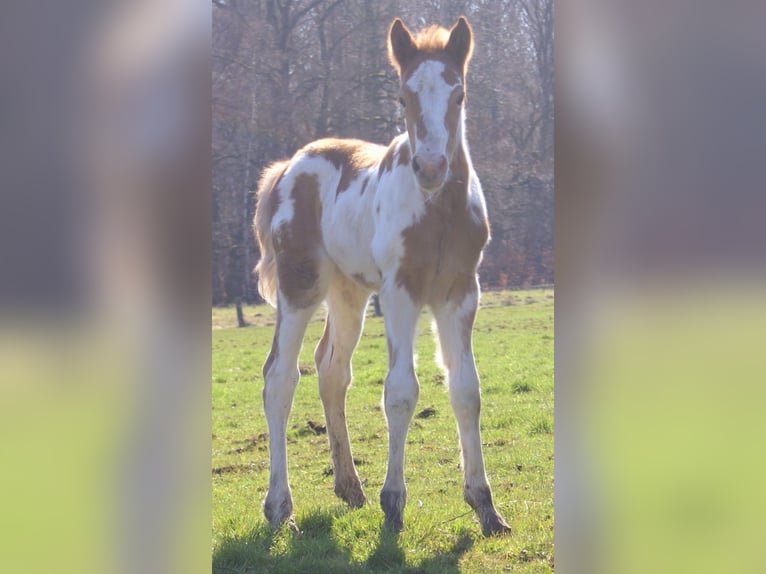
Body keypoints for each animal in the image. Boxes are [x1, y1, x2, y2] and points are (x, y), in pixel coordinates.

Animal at [253, 16, 511, 536]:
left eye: (460, 95)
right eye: (402, 98)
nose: (431, 166)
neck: (438, 213)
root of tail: (288, 166)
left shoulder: (461, 292)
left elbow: (466, 390)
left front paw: (485, 507)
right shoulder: (400, 291)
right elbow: (401, 392)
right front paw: (393, 503)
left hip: (348, 292)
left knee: (331, 370)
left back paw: (349, 487)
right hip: (300, 285)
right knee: (279, 378)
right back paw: (280, 508)